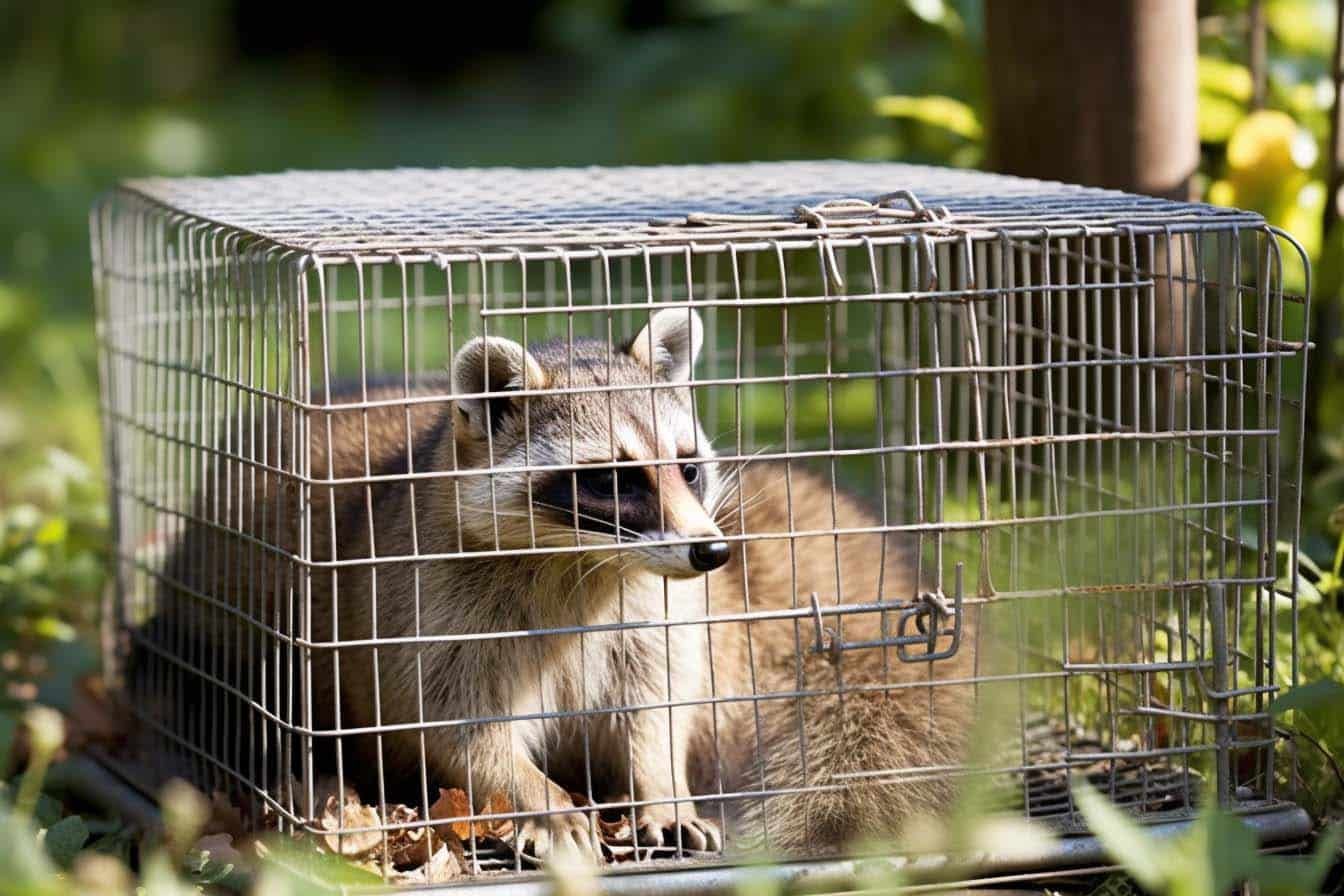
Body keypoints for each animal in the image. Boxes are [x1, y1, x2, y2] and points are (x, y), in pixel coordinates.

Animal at [147, 309, 975, 861]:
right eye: (613, 480)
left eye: (687, 465)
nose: (713, 553)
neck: (583, 565)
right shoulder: (423, 604)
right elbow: (454, 724)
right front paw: (533, 795)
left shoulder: (653, 611)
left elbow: (656, 703)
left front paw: (660, 781)